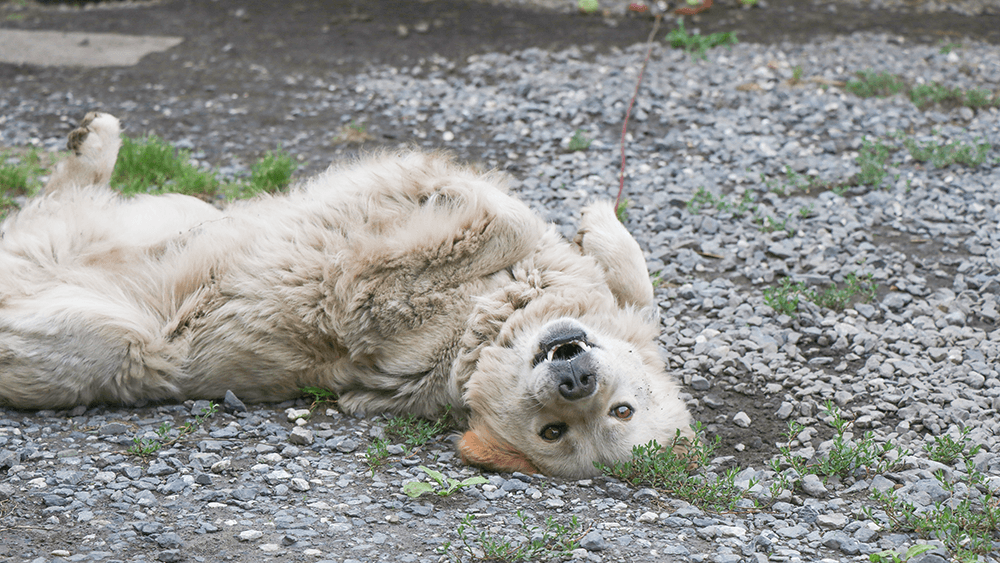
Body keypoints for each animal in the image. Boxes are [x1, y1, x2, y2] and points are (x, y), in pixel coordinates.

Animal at [0, 112, 692, 478]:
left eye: (556, 433)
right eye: (623, 410)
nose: (576, 380)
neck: (491, 323)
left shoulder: (363, 294)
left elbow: (501, 221)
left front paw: (461, 194)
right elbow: (634, 288)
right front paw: (597, 221)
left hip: (111, 340)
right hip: (174, 211)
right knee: (67, 196)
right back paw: (94, 140)